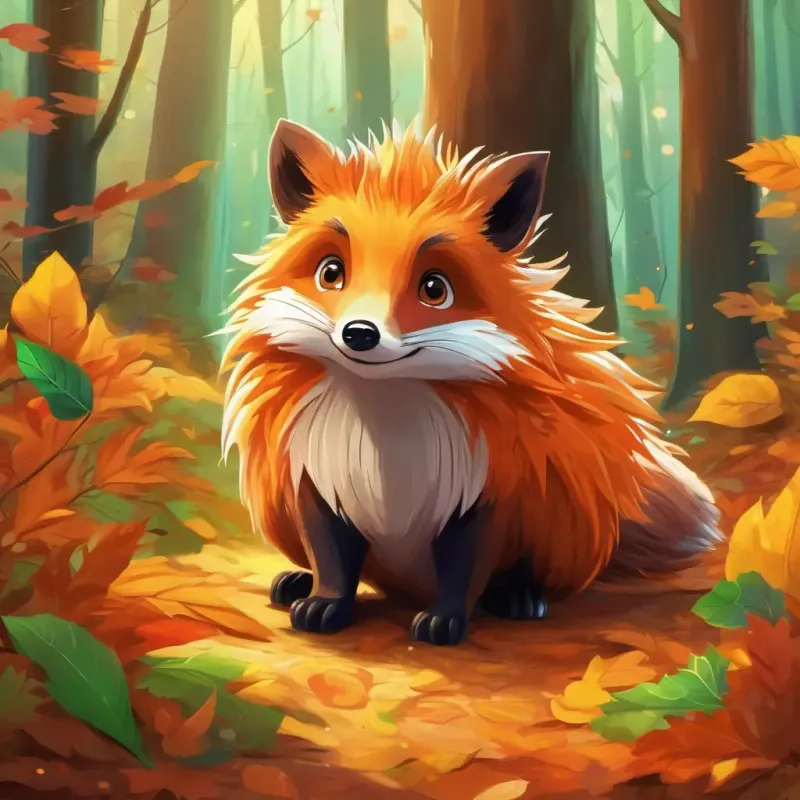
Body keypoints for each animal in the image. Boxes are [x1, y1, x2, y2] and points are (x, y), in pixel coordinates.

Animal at [219, 118, 722, 647]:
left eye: (434, 289)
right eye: (331, 272)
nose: (359, 333)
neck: (386, 434)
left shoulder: (488, 491)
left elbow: (464, 569)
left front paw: (446, 622)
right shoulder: (316, 477)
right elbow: (331, 557)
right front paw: (324, 604)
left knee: (529, 576)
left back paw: (520, 599)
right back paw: (295, 582)